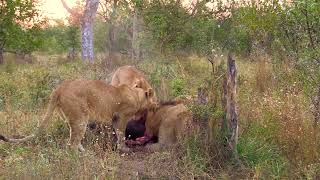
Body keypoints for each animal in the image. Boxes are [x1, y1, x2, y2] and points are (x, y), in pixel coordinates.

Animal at [0, 79, 152, 151]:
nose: (155, 105)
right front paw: (124, 148)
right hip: (80, 117)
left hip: (72, 118)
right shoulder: (121, 117)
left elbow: (117, 132)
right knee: (71, 144)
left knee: (74, 139)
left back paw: (85, 152)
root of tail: (59, 88)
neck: (136, 94)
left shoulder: (115, 119)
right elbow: (121, 133)